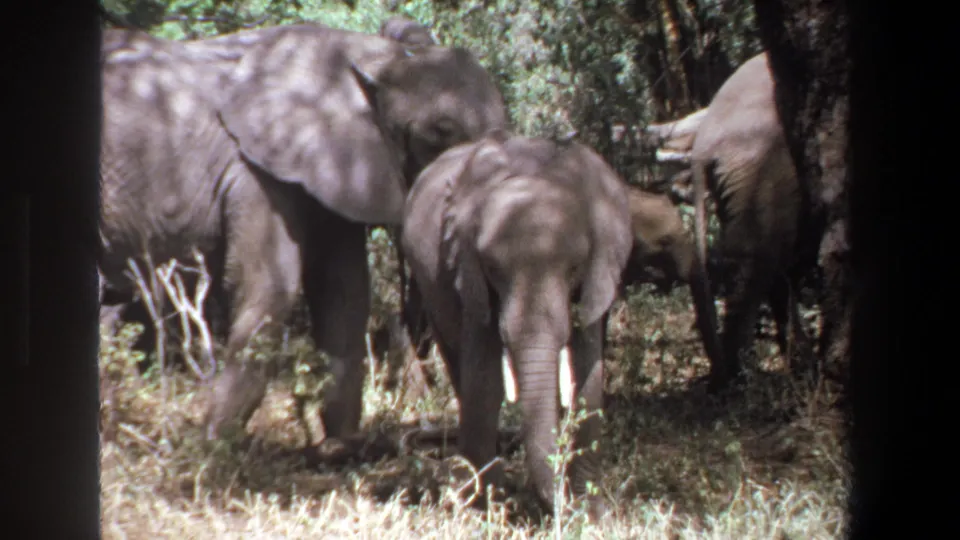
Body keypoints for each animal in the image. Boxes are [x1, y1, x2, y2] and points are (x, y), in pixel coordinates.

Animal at [99, 23, 508, 442]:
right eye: (441, 132)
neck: (371, 56)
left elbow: (344, 293)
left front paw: (341, 442)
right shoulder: (255, 169)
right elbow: (271, 286)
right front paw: (210, 444)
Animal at [401, 130, 633, 515]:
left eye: (574, 267)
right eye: (493, 269)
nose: (558, 505)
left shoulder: (599, 269)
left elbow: (589, 374)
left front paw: (591, 510)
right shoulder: (468, 270)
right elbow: (485, 377)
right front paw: (494, 507)